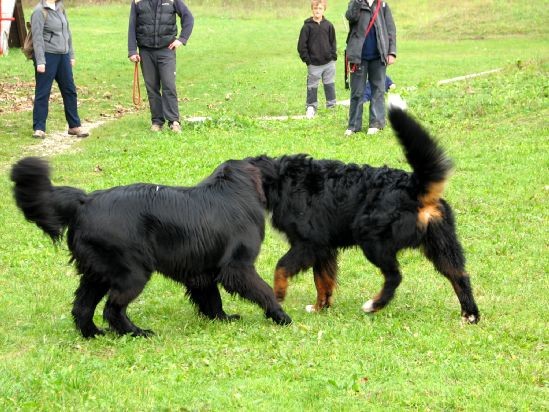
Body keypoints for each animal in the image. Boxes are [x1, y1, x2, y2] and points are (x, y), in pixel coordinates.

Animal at [10, 158, 292, 338]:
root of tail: (85, 201)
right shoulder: (238, 267)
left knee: (82, 307)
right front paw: (280, 315)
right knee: (112, 309)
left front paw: (222, 319)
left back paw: (93, 334)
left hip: (97, 272)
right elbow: (263, 290)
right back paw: (136, 333)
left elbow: (212, 299)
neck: (233, 189)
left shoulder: (202, 271)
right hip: (132, 272)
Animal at [246, 104, 478, 324]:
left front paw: (278, 294)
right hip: (441, 246)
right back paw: (470, 315)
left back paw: (374, 305)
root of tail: (414, 185)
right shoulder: (324, 248)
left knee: (395, 276)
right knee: (460, 276)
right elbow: (322, 281)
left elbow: (281, 267)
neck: (280, 181)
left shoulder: (308, 243)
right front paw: (320, 307)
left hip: (372, 240)